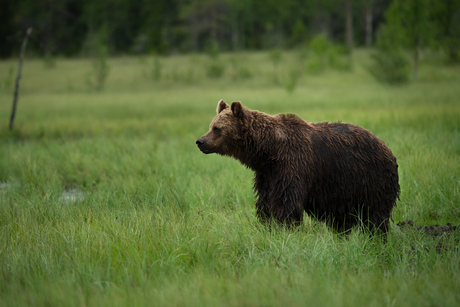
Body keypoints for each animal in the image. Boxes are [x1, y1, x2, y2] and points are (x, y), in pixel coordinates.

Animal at [197, 100, 398, 235]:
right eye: (210, 126)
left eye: (217, 128)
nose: (200, 141)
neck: (268, 151)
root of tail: (388, 149)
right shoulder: (267, 175)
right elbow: (265, 202)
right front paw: (266, 225)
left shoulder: (293, 165)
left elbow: (287, 203)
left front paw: (286, 229)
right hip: (346, 190)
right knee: (344, 219)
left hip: (371, 180)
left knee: (375, 217)